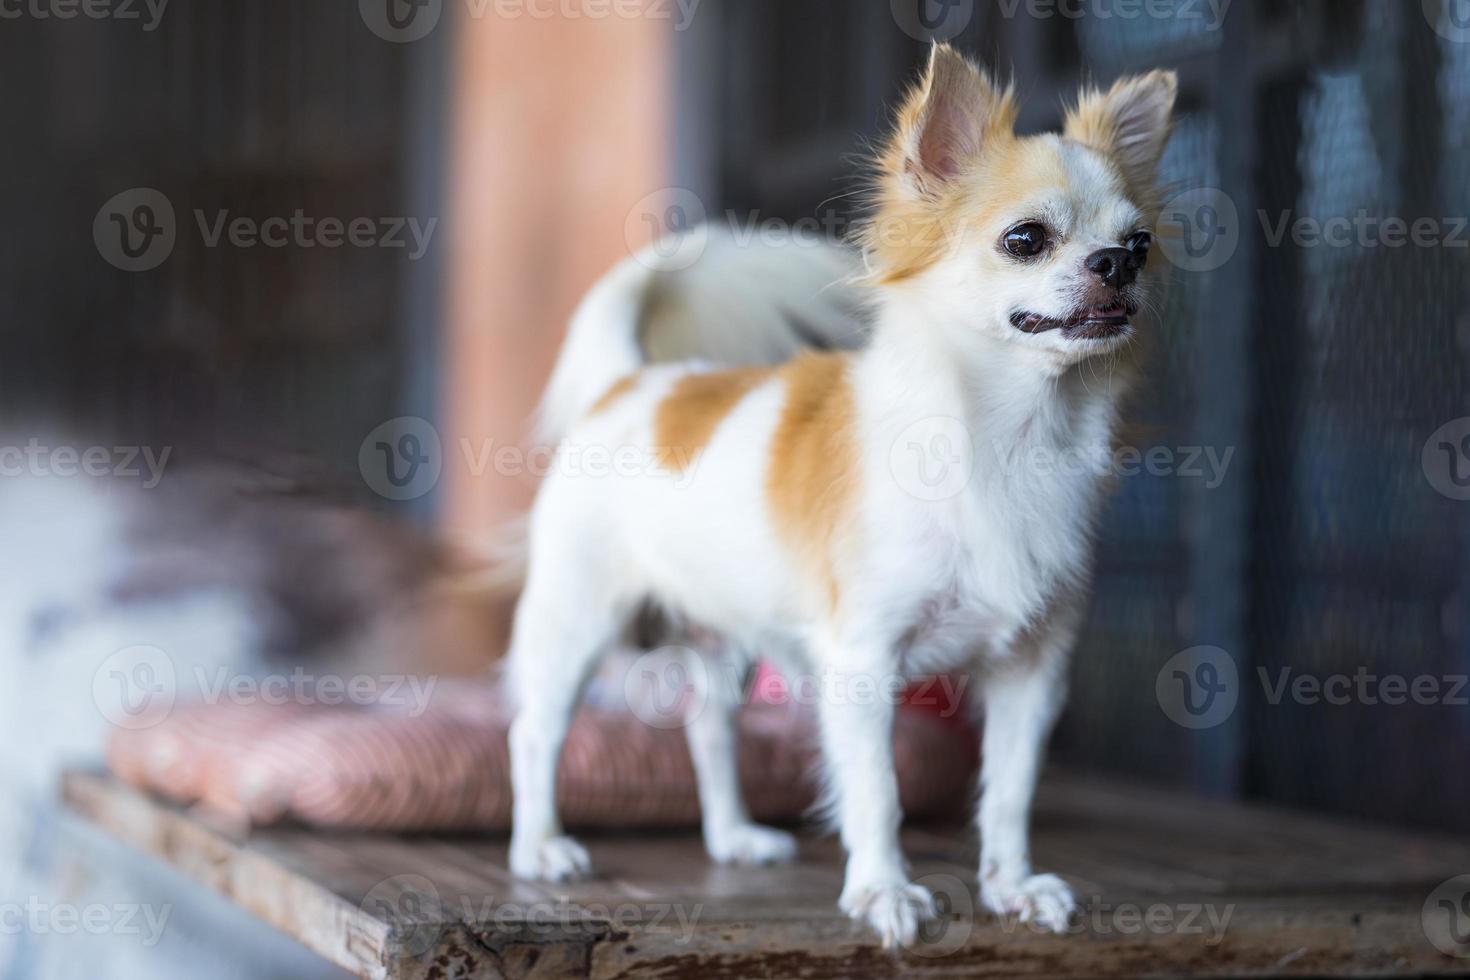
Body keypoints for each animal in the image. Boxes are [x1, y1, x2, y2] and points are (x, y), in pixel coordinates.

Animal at [511, 45, 1176, 952]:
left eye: (1140, 244)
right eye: (1026, 239)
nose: (1116, 264)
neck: (1011, 437)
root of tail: (633, 380)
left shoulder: (1031, 672)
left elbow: (1009, 793)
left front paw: (1011, 886)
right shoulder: (863, 665)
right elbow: (878, 792)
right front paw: (883, 892)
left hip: (721, 635)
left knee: (709, 727)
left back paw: (732, 836)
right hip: (580, 619)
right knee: (536, 731)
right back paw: (539, 847)